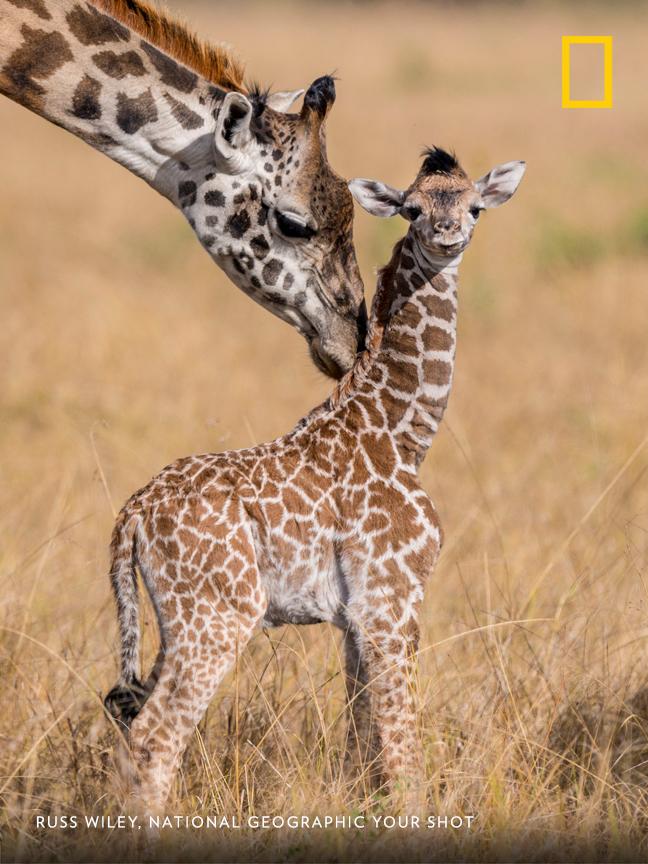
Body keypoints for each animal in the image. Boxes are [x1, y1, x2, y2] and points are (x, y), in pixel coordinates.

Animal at [103, 147, 525, 811]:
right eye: (411, 208)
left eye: (474, 204)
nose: (447, 235)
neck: (401, 433)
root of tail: (132, 517)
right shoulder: (391, 601)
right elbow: (403, 750)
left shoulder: (355, 619)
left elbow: (362, 742)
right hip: (220, 617)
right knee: (154, 736)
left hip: (173, 620)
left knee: (130, 719)